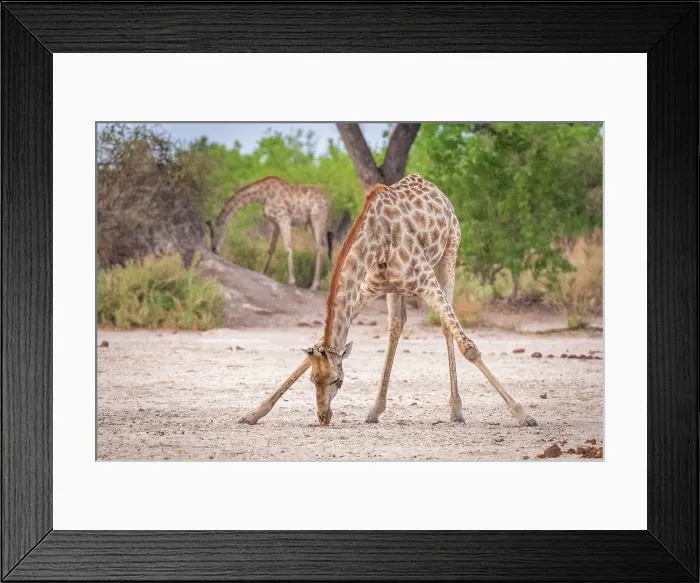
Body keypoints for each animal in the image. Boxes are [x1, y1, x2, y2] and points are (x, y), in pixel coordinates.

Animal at [238, 173, 538, 428]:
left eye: (338, 380)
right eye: (314, 380)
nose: (323, 417)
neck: (377, 241)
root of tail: (437, 190)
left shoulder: (425, 280)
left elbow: (469, 348)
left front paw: (522, 414)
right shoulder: (368, 287)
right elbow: (317, 344)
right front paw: (253, 413)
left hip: (449, 252)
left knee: (445, 326)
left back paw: (456, 410)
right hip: (395, 288)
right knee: (396, 326)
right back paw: (375, 410)